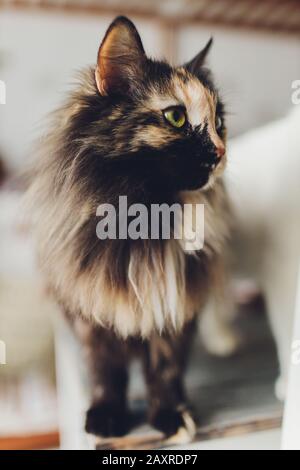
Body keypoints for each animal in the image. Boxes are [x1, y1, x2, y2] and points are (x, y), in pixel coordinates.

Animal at [26, 14, 232, 440]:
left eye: (219, 122)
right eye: (176, 117)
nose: (221, 153)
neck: (148, 223)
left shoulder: (176, 310)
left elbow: (165, 370)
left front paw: (171, 416)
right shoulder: (92, 315)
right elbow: (106, 372)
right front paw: (107, 417)